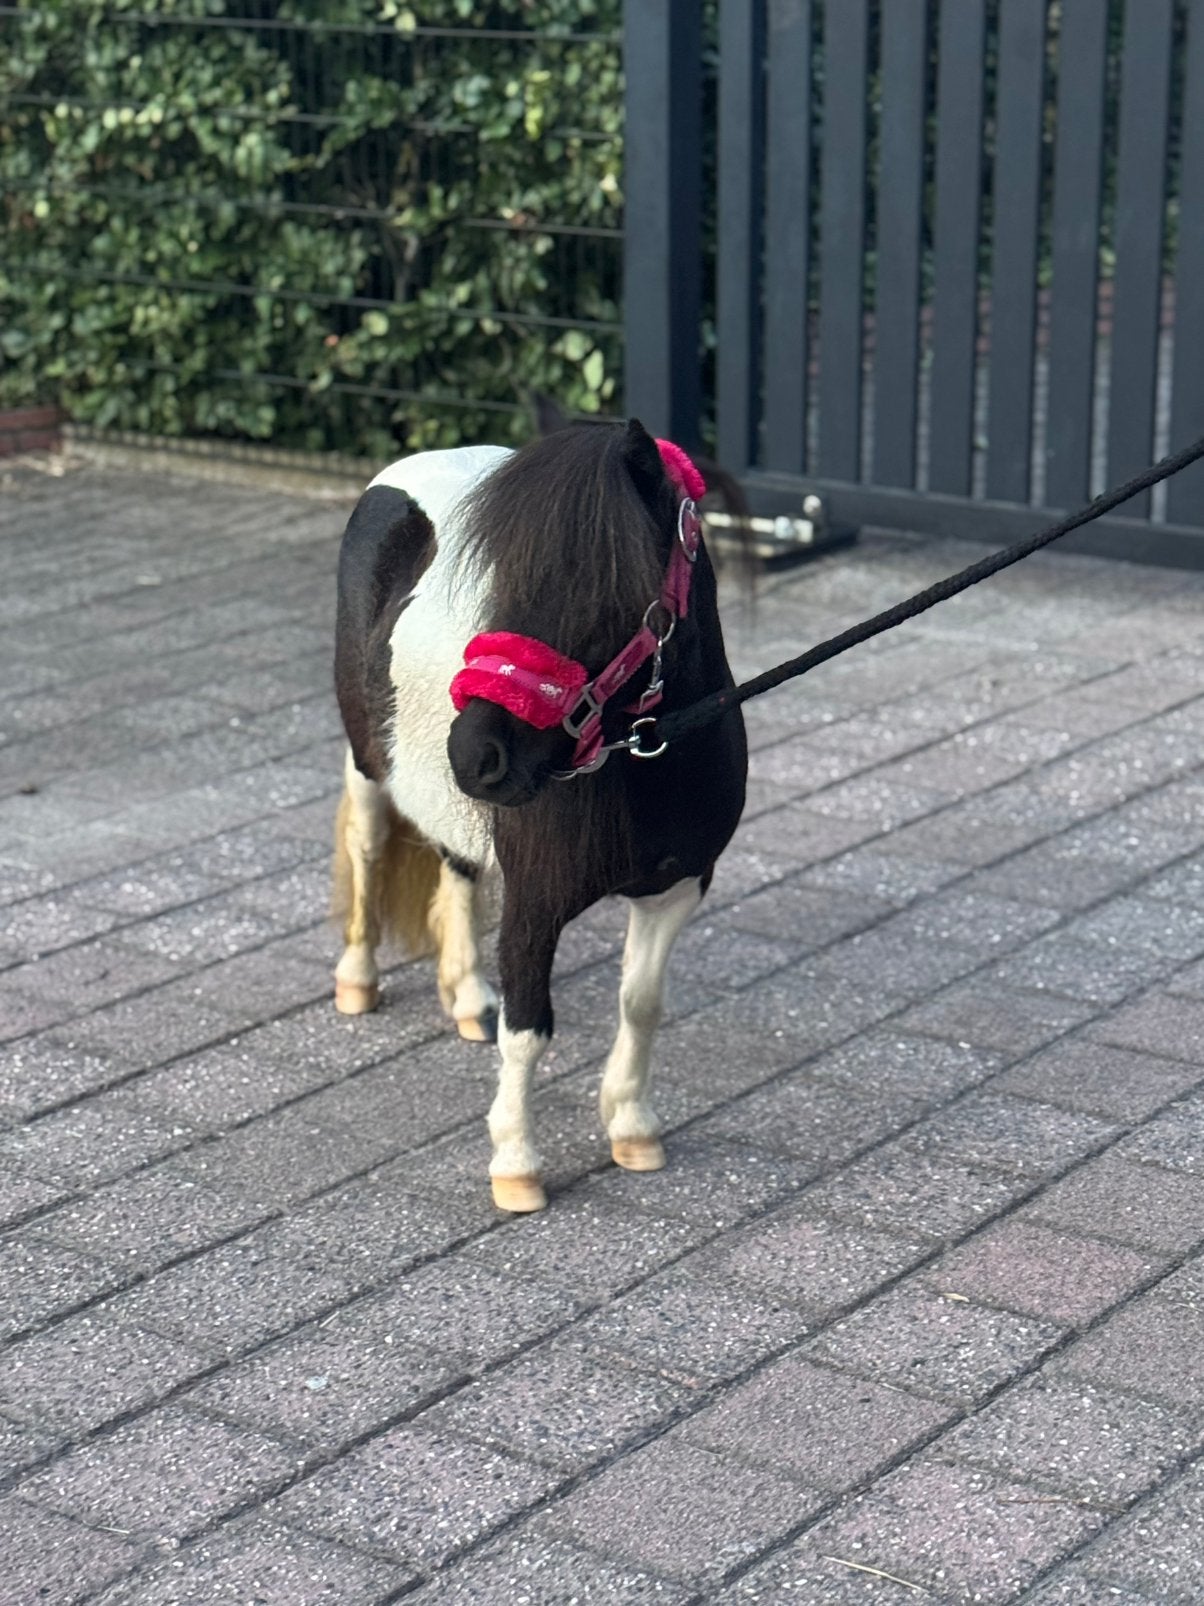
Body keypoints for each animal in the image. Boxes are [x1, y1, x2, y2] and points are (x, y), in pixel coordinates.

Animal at [331, 418, 748, 1212]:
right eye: (499, 584)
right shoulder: (535, 902)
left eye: (606, 588)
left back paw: (467, 997)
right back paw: (358, 981)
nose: (475, 754)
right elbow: (528, 1029)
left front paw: (632, 1127)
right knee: (367, 849)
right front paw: (517, 1165)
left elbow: (641, 1003)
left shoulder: (677, 889)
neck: (643, 761)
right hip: (370, 763)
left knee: (458, 868)